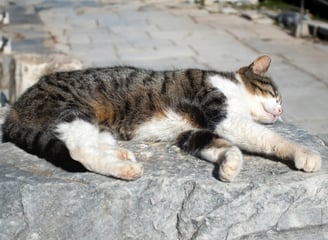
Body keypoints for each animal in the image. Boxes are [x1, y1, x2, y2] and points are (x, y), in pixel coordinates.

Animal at [1, 55, 322, 181]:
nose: (281, 112)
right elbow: (270, 138)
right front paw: (305, 154)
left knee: (90, 144)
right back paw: (125, 169)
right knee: (79, 152)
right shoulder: (223, 116)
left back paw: (120, 153)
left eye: (280, 101)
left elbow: (225, 147)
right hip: (71, 112)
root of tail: (15, 107)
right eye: (275, 95)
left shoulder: (191, 134)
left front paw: (229, 166)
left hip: (90, 124)